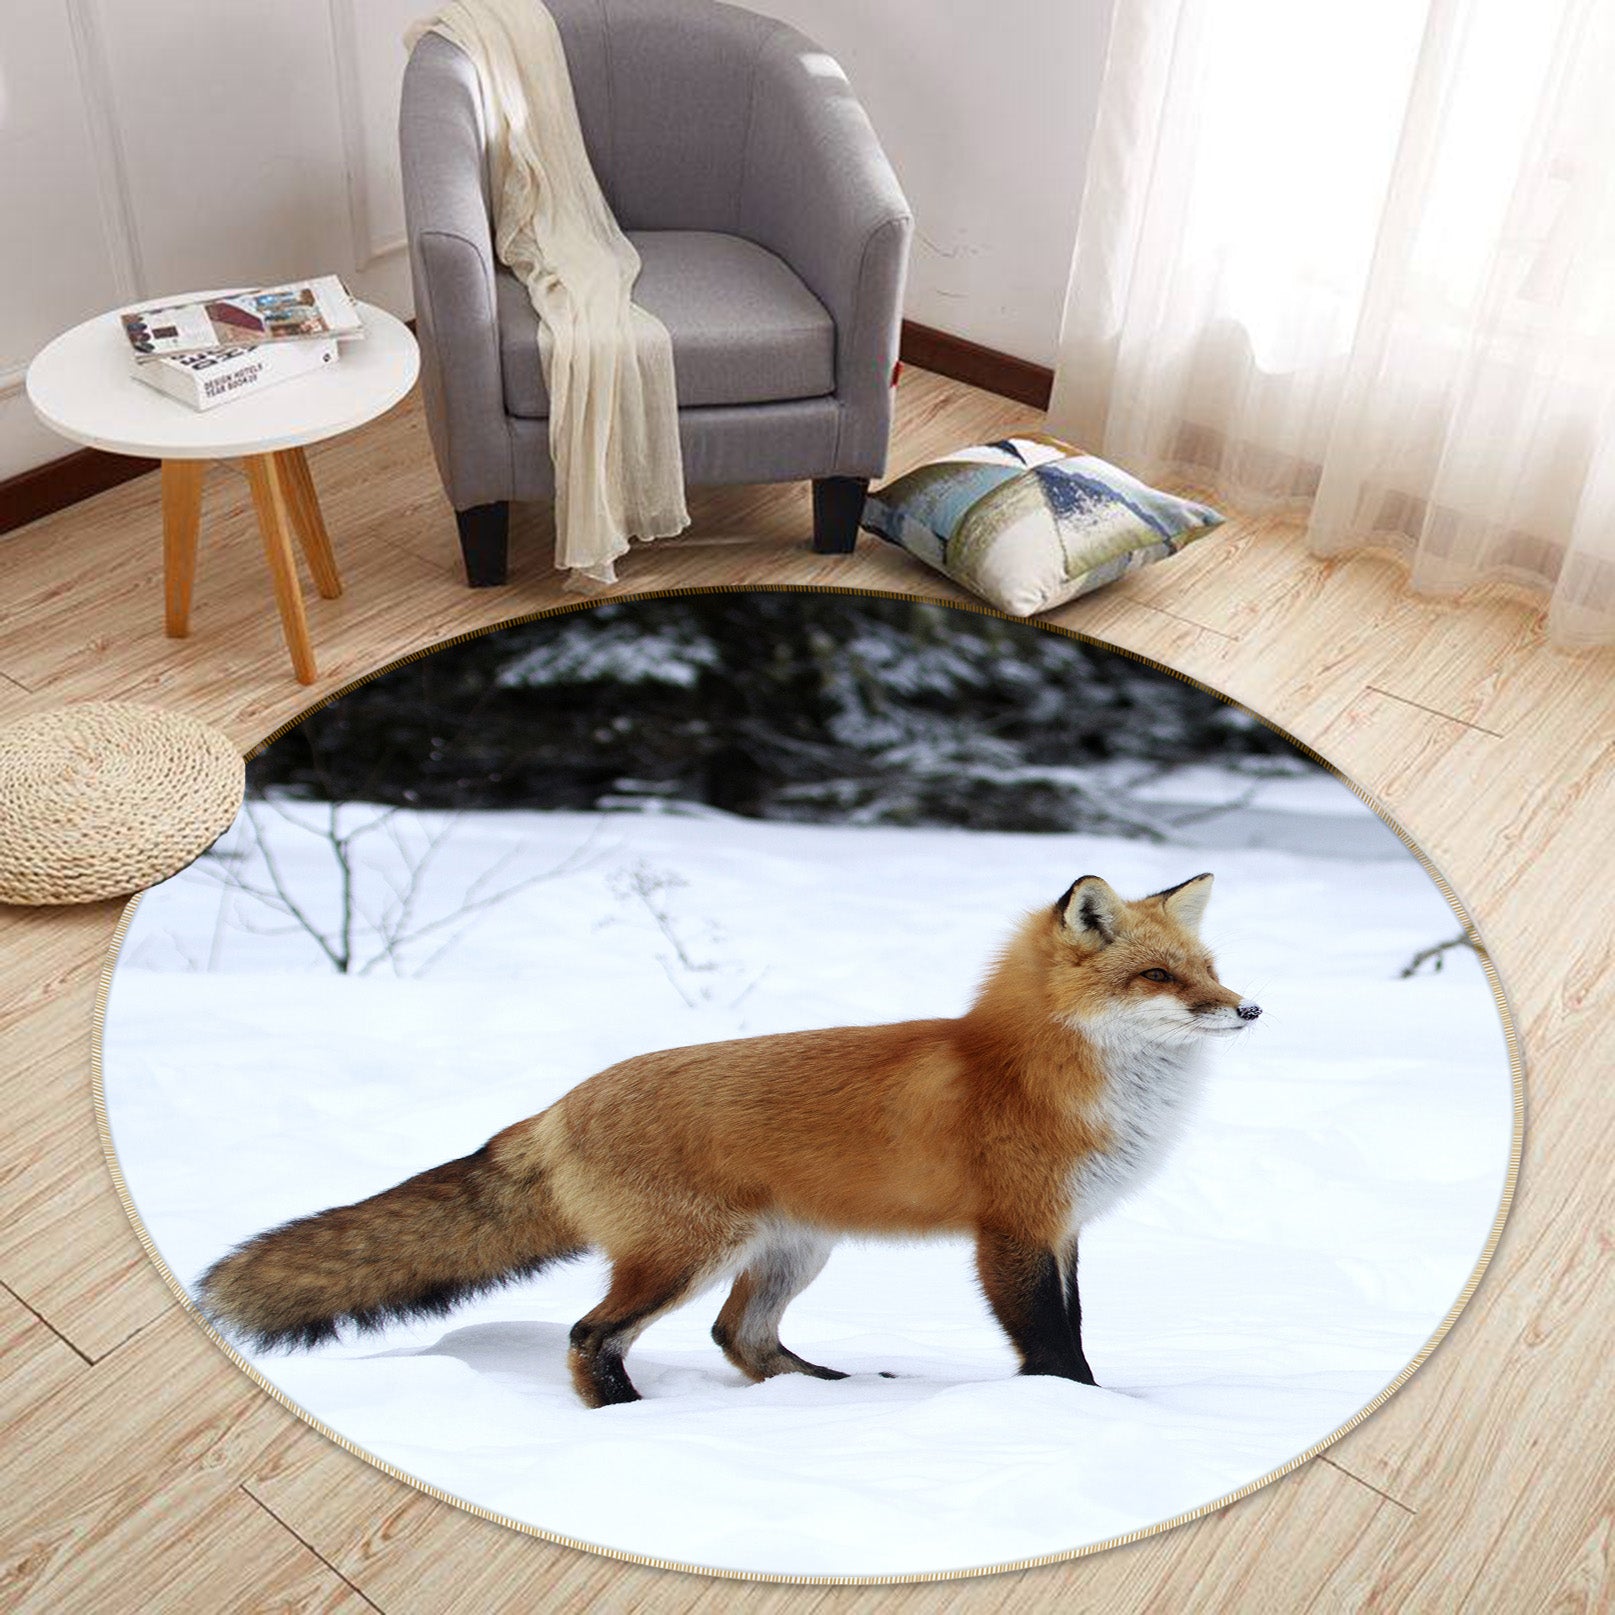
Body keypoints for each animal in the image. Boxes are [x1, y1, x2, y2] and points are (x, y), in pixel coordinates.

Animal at [197, 872, 1261, 1408]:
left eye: (1209, 966)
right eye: (1159, 976)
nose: (1249, 1009)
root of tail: (561, 1103)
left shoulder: (1065, 1228)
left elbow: (1073, 1326)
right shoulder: (1013, 1228)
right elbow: (1048, 1340)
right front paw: (1077, 1417)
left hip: (790, 1250)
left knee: (737, 1336)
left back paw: (820, 1396)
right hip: (686, 1254)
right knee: (592, 1334)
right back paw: (627, 1414)